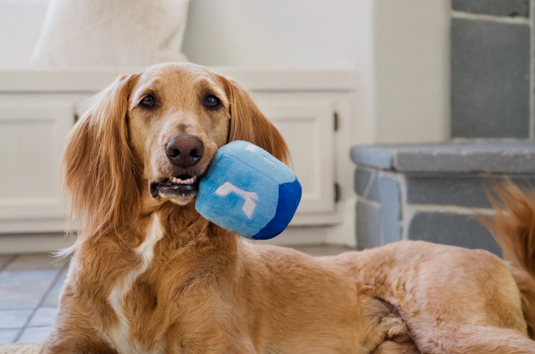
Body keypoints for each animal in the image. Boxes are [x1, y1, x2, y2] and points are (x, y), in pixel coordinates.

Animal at [39, 62, 535, 352]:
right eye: (147, 101)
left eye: (211, 100)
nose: (185, 150)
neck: (152, 250)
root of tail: (493, 259)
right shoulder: (66, 340)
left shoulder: (221, 343)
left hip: (455, 327)